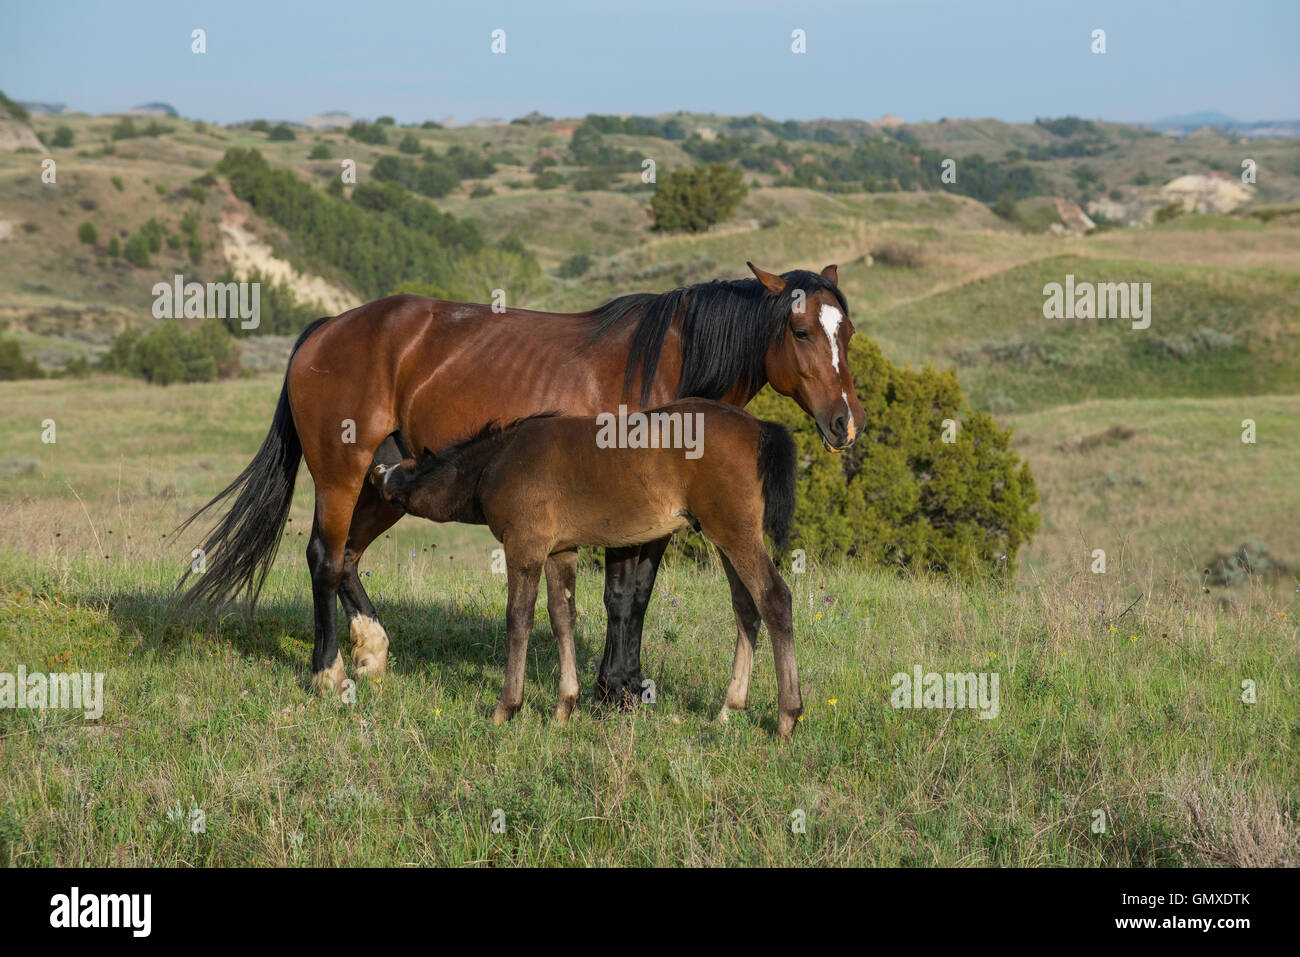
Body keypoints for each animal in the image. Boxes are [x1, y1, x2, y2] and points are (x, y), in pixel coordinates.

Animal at [175, 261, 863, 702]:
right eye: (801, 331)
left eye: (848, 333)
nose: (845, 422)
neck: (662, 367)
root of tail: (327, 327)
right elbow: (620, 596)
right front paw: (612, 691)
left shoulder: (652, 518)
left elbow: (635, 597)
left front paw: (622, 687)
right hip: (341, 475)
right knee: (324, 555)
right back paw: (329, 673)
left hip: (389, 482)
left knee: (347, 556)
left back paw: (371, 649)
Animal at [371, 397, 806, 738]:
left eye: (407, 469)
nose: (377, 475)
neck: (497, 459)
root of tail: (759, 428)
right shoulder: (561, 551)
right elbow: (562, 616)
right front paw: (565, 705)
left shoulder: (525, 547)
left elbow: (519, 619)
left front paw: (507, 707)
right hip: (725, 536)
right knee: (746, 607)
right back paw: (729, 708)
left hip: (733, 532)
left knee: (774, 598)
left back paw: (787, 716)